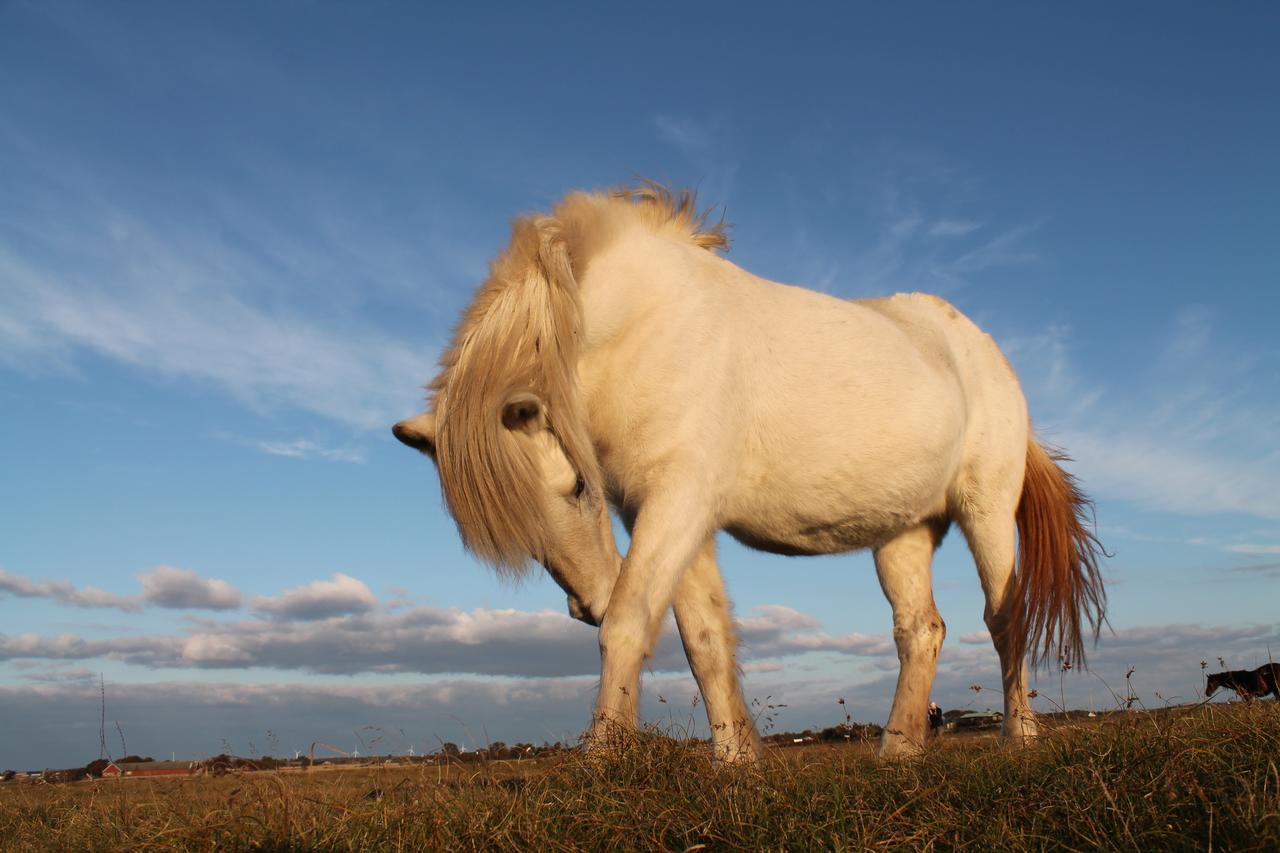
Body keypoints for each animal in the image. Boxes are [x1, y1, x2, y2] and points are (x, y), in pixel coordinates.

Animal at [394, 184, 1105, 758]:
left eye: (575, 487)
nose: (584, 604)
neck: (644, 323)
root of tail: (983, 350)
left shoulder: (676, 501)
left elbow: (630, 624)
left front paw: (600, 767)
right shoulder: (668, 512)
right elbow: (704, 638)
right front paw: (737, 765)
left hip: (987, 513)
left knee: (1004, 619)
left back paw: (1019, 740)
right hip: (904, 532)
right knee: (920, 630)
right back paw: (897, 753)